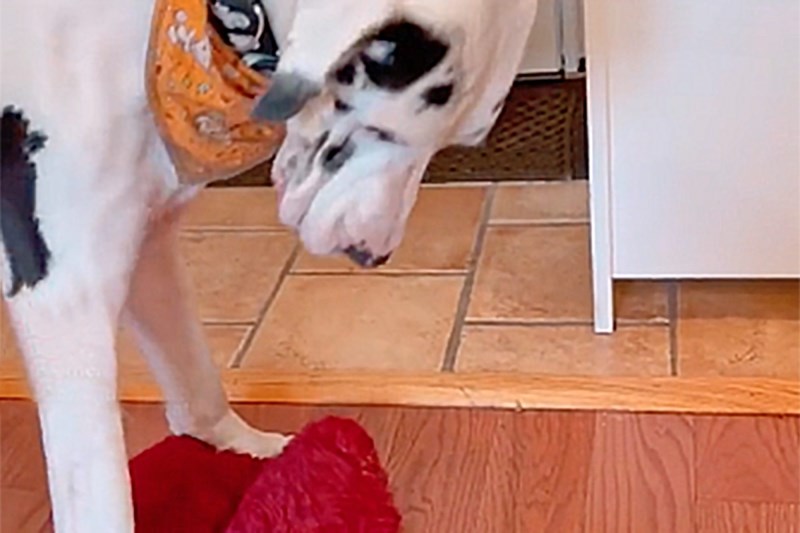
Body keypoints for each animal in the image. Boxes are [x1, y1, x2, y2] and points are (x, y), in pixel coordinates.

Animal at [1, 0, 536, 528]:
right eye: (380, 130)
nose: (372, 253)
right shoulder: (68, 302)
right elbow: (100, 496)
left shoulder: (149, 243)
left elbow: (198, 383)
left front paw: (245, 447)